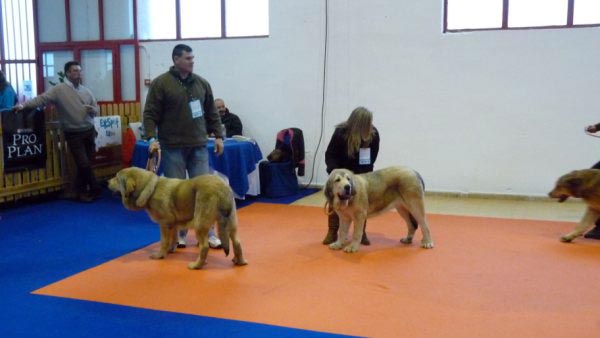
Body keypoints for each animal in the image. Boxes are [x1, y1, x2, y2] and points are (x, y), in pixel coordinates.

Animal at [108, 167, 246, 270]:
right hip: (231, 223)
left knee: (204, 247)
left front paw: (160, 255)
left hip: (200, 225)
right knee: (237, 242)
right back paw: (239, 261)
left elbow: (164, 241)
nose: (107, 182)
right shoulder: (172, 224)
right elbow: (172, 239)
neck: (150, 189)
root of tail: (222, 187)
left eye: (117, 178)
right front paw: (170, 250)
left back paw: (196, 265)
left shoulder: (164, 223)